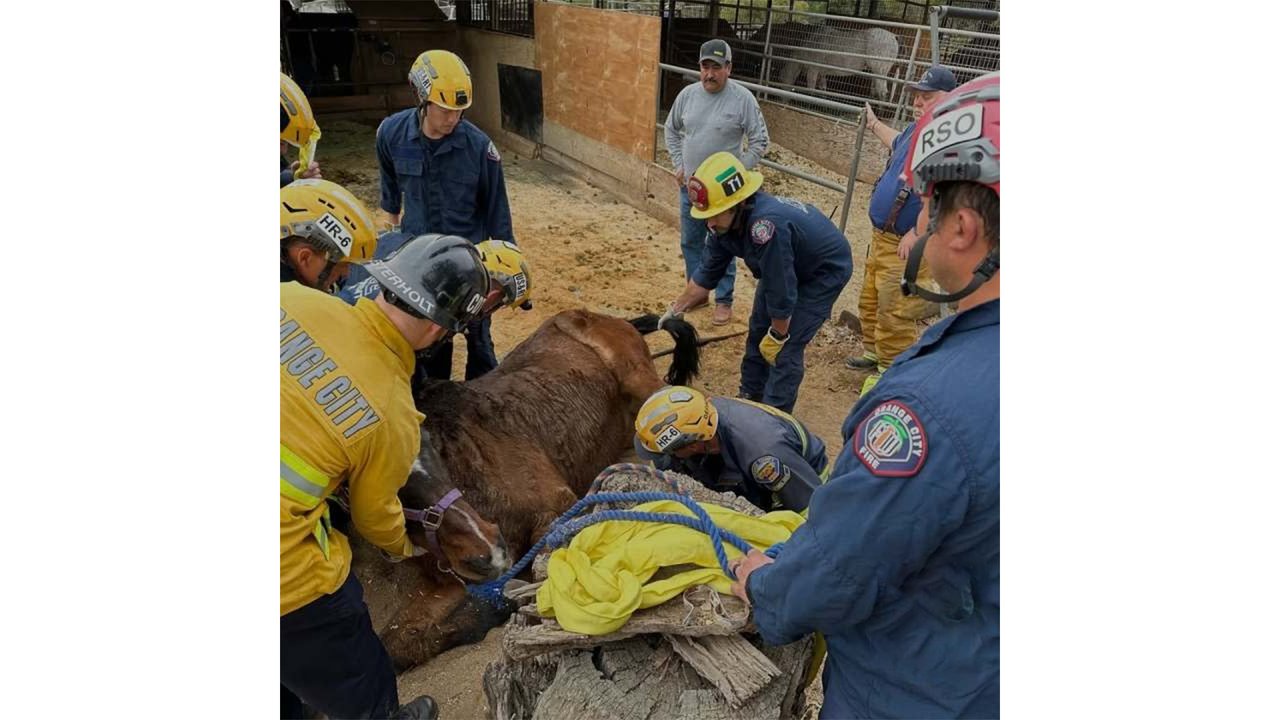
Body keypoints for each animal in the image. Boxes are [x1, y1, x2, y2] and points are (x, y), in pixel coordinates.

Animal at [345, 310, 701, 671]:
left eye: (430, 445)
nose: (490, 552)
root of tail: (605, 317)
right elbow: (402, 643)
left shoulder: (557, 509)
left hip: (644, 387)